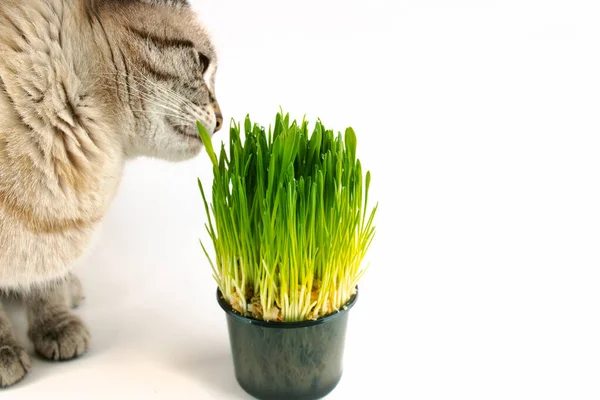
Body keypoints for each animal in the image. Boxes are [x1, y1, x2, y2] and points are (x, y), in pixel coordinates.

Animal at [0, 0, 223, 388]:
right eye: (202, 62)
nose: (223, 120)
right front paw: (5, 353)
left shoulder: (50, 219)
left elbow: (45, 286)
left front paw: (56, 327)